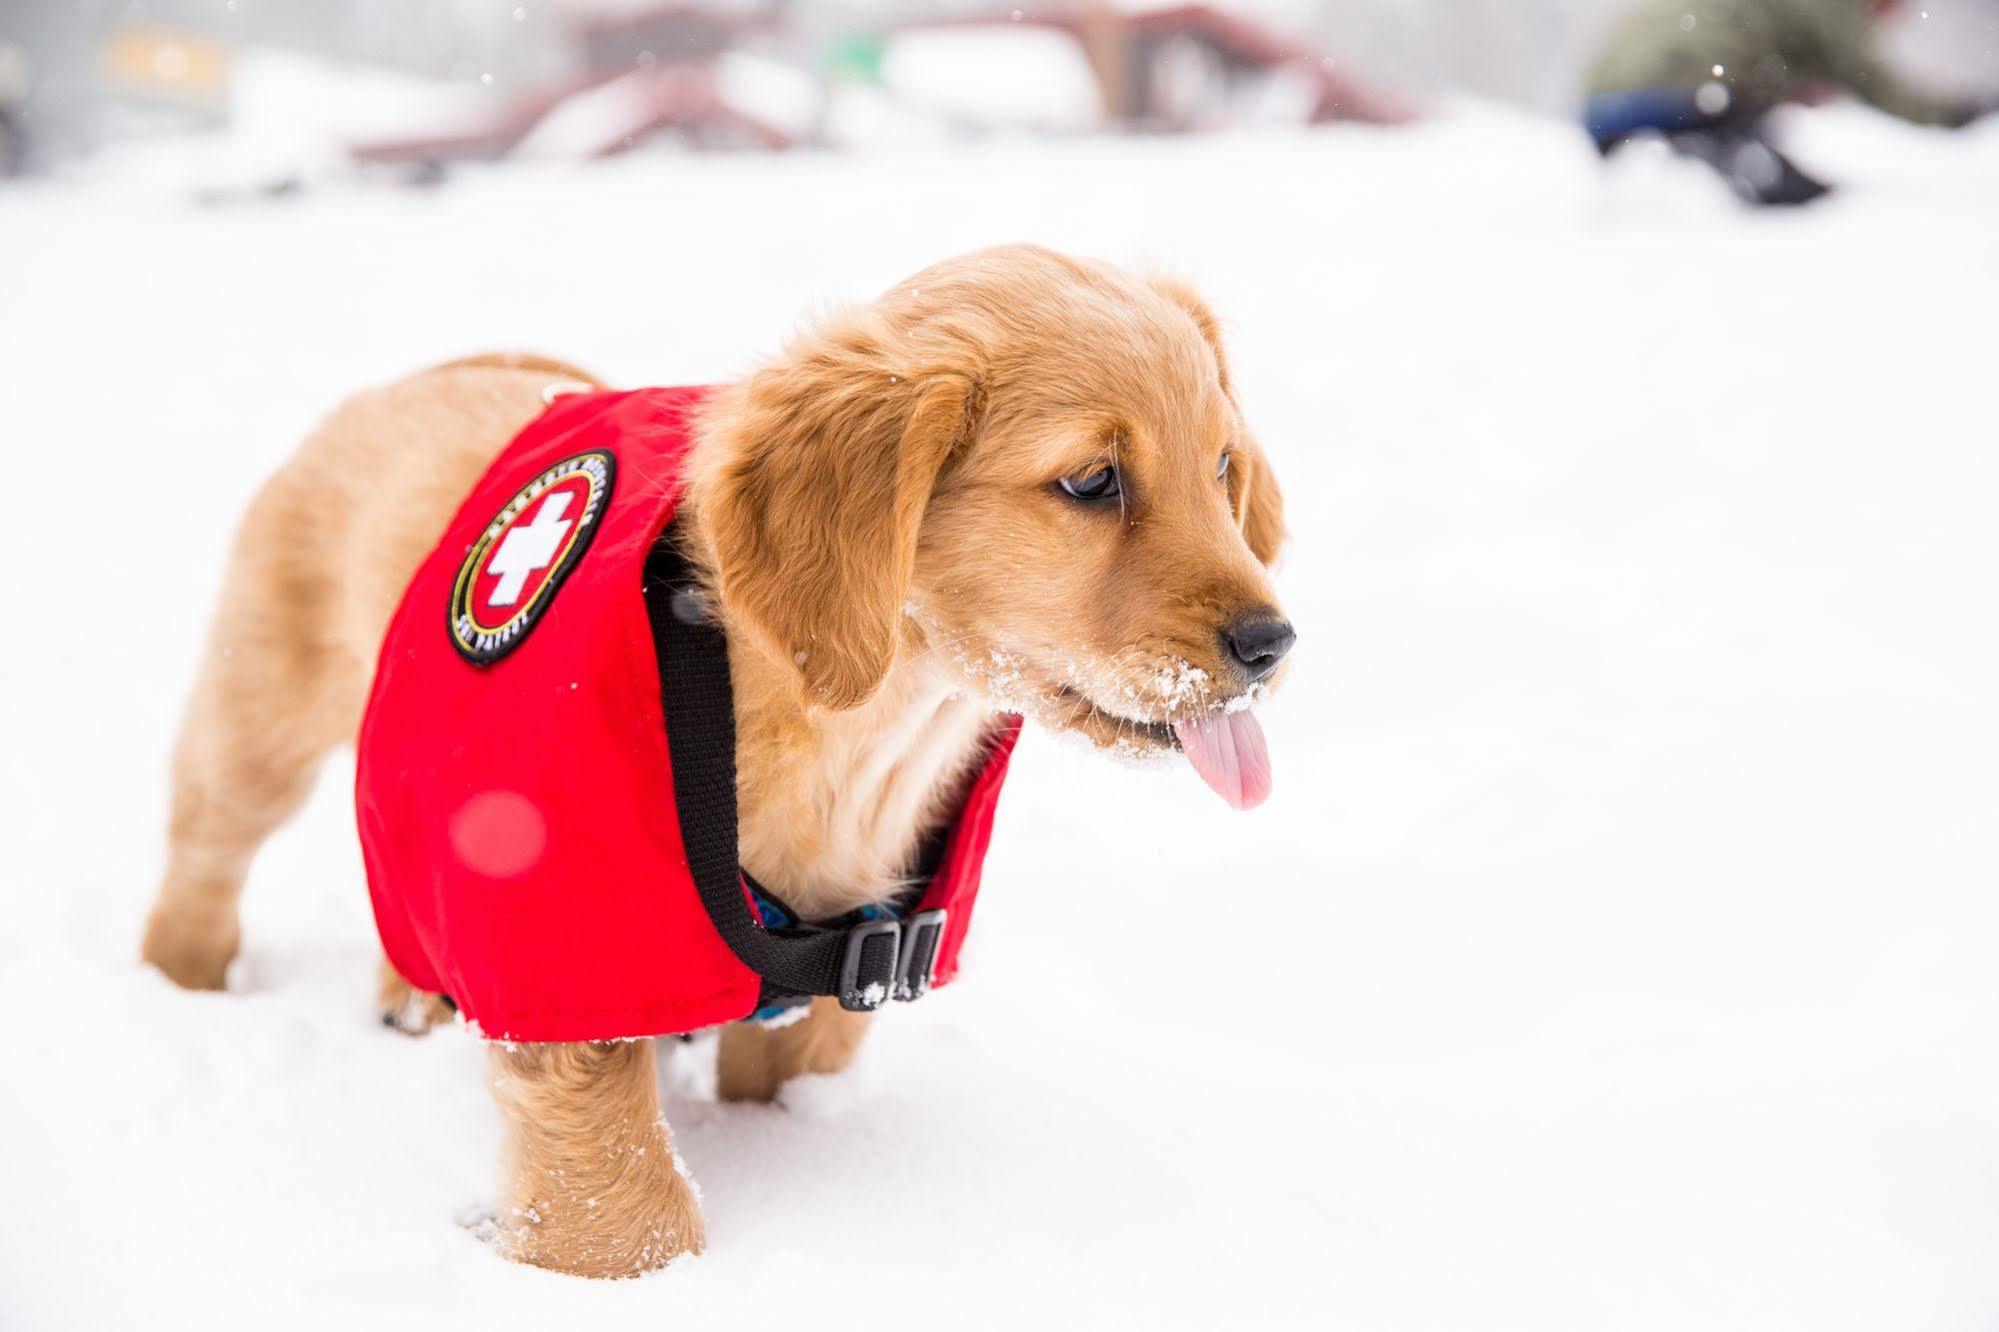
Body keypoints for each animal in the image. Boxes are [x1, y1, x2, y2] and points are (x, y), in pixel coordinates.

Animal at [144, 246, 1295, 1280]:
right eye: (1092, 481)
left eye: (1221, 469)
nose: (1273, 643)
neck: (861, 737)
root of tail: (416, 379)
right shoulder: (570, 964)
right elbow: (630, 1218)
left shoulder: (835, 984)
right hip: (261, 716)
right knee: (205, 859)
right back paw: (180, 989)